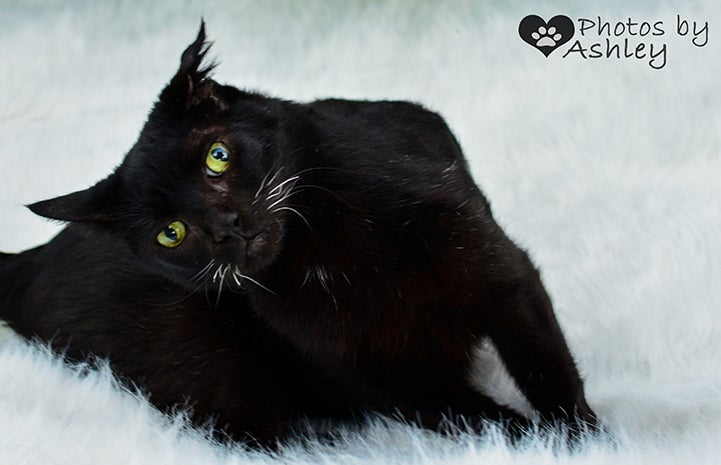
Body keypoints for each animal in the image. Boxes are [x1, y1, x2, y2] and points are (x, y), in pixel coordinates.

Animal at [1, 23, 596, 444]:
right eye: (171, 233)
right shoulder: (375, 376)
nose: (227, 228)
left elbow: (547, 365)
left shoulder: (504, 278)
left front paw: (582, 438)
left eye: (217, 157)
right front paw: (533, 438)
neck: (328, 251)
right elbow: (474, 415)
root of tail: (28, 259)